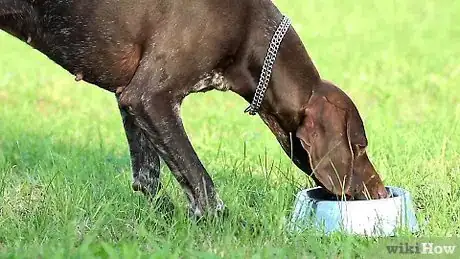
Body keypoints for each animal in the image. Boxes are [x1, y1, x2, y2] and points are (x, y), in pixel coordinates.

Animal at [0, 0, 388, 218]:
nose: (383, 193)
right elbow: (203, 184)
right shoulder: (150, 97)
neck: (249, 32)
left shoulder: (131, 99)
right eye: (360, 146)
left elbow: (148, 178)